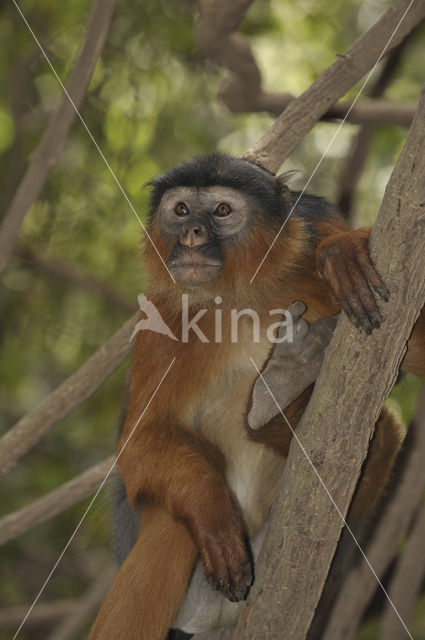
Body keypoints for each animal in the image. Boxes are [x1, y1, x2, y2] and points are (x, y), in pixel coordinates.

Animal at [88, 152, 422, 636]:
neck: (239, 296)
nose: (191, 235)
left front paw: (342, 252)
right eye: (181, 210)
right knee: (172, 523)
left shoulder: (316, 227)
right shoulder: (163, 310)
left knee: (386, 433)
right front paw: (210, 509)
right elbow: (141, 442)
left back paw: (275, 401)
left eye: (222, 211)